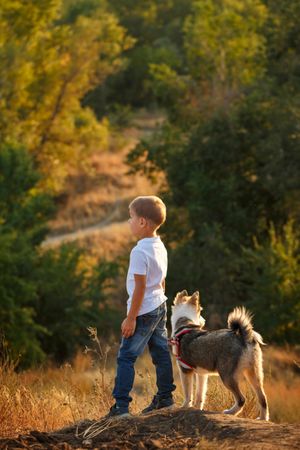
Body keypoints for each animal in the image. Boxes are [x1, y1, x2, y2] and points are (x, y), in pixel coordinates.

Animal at [171, 290, 270, 420]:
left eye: (200, 310)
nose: (204, 321)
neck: (185, 323)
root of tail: (244, 337)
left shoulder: (185, 371)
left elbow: (188, 394)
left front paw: (185, 406)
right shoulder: (202, 374)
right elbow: (200, 395)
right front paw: (197, 408)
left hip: (227, 376)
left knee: (241, 399)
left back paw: (230, 412)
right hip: (254, 374)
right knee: (263, 398)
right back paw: (263, 418)